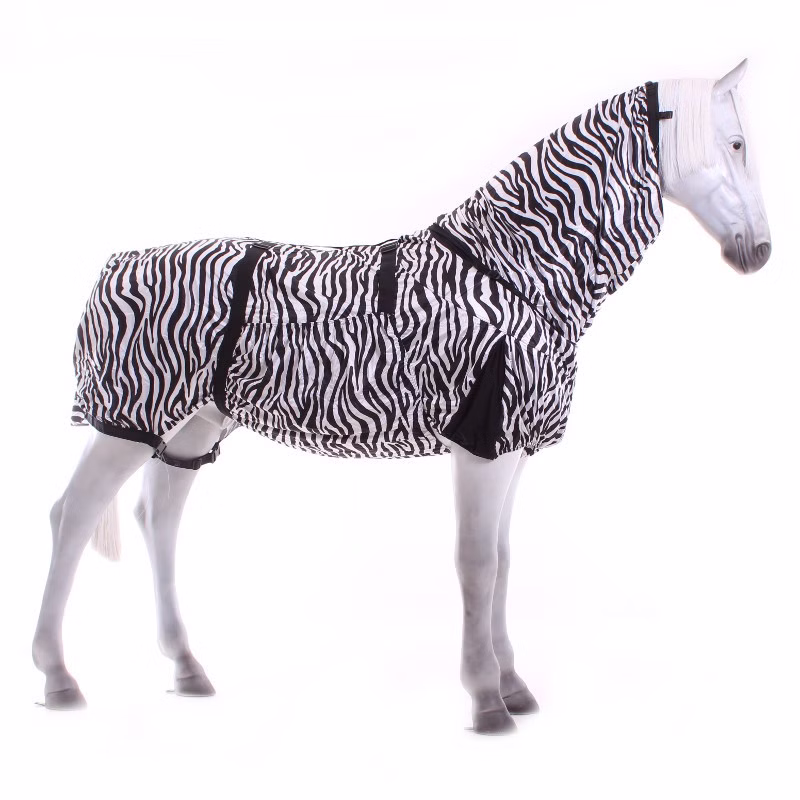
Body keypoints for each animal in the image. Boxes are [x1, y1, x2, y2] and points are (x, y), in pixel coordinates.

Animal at [33, 59, 771, 734]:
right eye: (736, 143)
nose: (760, 252)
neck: (515, 273)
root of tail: (118, 263)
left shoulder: (512, 447)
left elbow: (503, 563)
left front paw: (514, 686)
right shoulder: (480, 447)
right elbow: (476, 564)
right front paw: (486, 699)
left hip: (194, 425)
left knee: (158, 516)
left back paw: (186, 668)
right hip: (130, 419)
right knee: (73, 515)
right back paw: (58, 676)